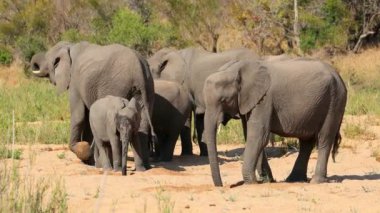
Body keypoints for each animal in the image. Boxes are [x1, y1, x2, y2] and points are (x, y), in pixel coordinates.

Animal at [30, 41, 156, 171]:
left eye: (49, 61)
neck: (69, 45)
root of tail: (138, 68)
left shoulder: (75, 81)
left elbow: (79, 116)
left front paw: (83, 151)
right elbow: (87, 120)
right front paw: (88, 161)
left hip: (116, 85)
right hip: (148, 87)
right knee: (142, 125)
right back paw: (144, 168)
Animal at [205, 58, 348, 186]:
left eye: (223, 100)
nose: (221, 185)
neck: (236, 69)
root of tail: (339, 76)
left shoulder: (264, 100)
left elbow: (258, 136)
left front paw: (251, 183)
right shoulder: (249, 101)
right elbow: (250, 135)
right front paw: (267, 180)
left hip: (334, 102)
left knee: (324, 139)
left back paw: (315, 181)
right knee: (306, 142)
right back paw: (293, 180)